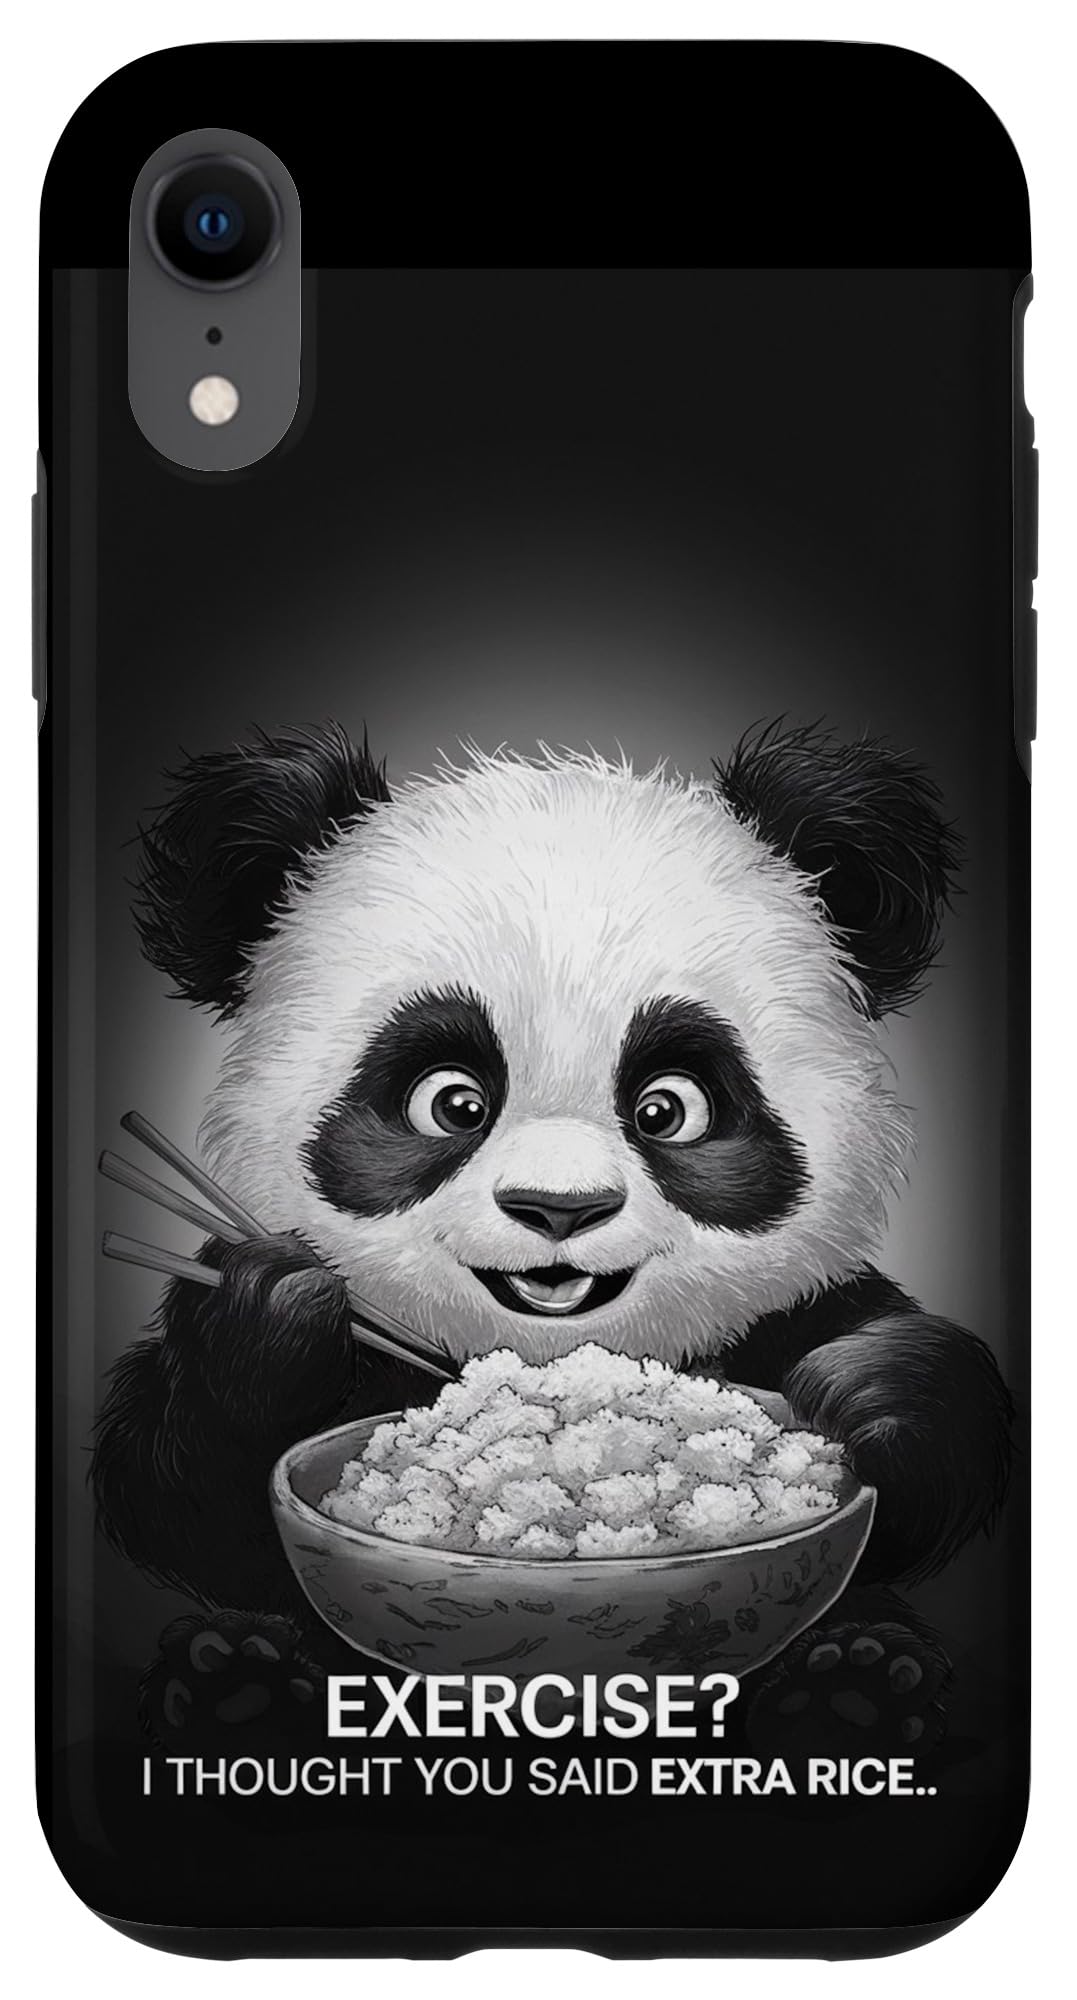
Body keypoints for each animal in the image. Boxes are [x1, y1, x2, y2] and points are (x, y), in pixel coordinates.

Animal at [93, 720, 1013, 1756]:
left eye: (669, 1108)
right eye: (452, 1102)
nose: (558, 1209)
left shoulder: (795, 1308)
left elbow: (924, 1475)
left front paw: (866, 1386)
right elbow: (178, 1498)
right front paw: (275, 1306)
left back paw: (851, 1690)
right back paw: (239, 1690)